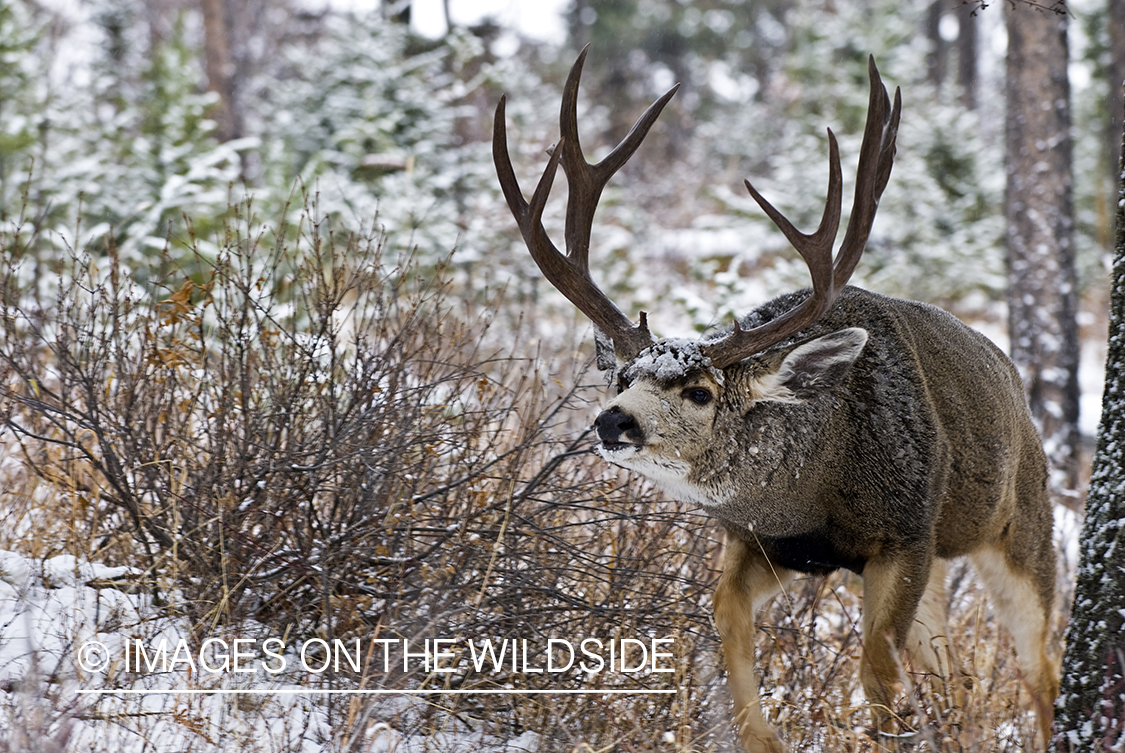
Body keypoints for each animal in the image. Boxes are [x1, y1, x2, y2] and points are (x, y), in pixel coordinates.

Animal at [492, 48, 1059, 752]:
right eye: (622, 378)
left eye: (700, 391)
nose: (611, 421)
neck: (817, 488)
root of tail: (1012, 377)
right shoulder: (764, 540)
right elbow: (723, 618)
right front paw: (764, 737)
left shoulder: (905, 533)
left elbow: (877, 669)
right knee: (951, 665)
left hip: (1022, 525)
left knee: (1040, 664)